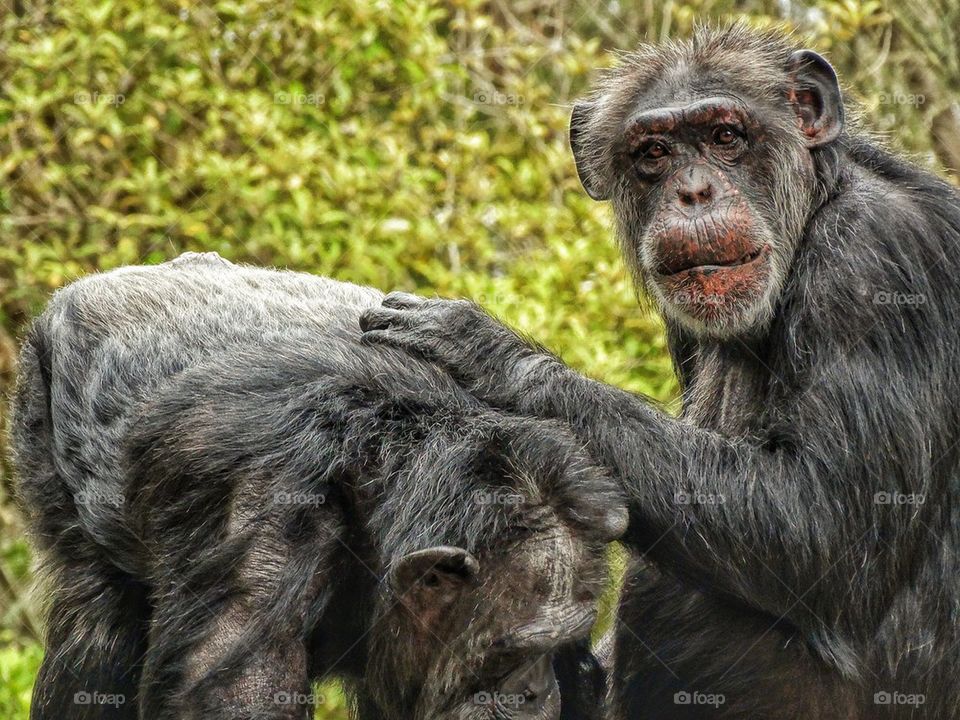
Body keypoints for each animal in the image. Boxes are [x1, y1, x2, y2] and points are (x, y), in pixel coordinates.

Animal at [15, 253, 632, 720]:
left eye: (559, 644)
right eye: (511, 654)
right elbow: (239, 691)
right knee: (98, 627)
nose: (536, 692)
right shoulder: (263, 500)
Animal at [358, 23, 960, 720]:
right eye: (654, 152)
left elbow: (823, 524)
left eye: (725, 136)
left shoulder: (877, 263)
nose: (694, 192)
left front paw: (488, 349)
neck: (815, 207)